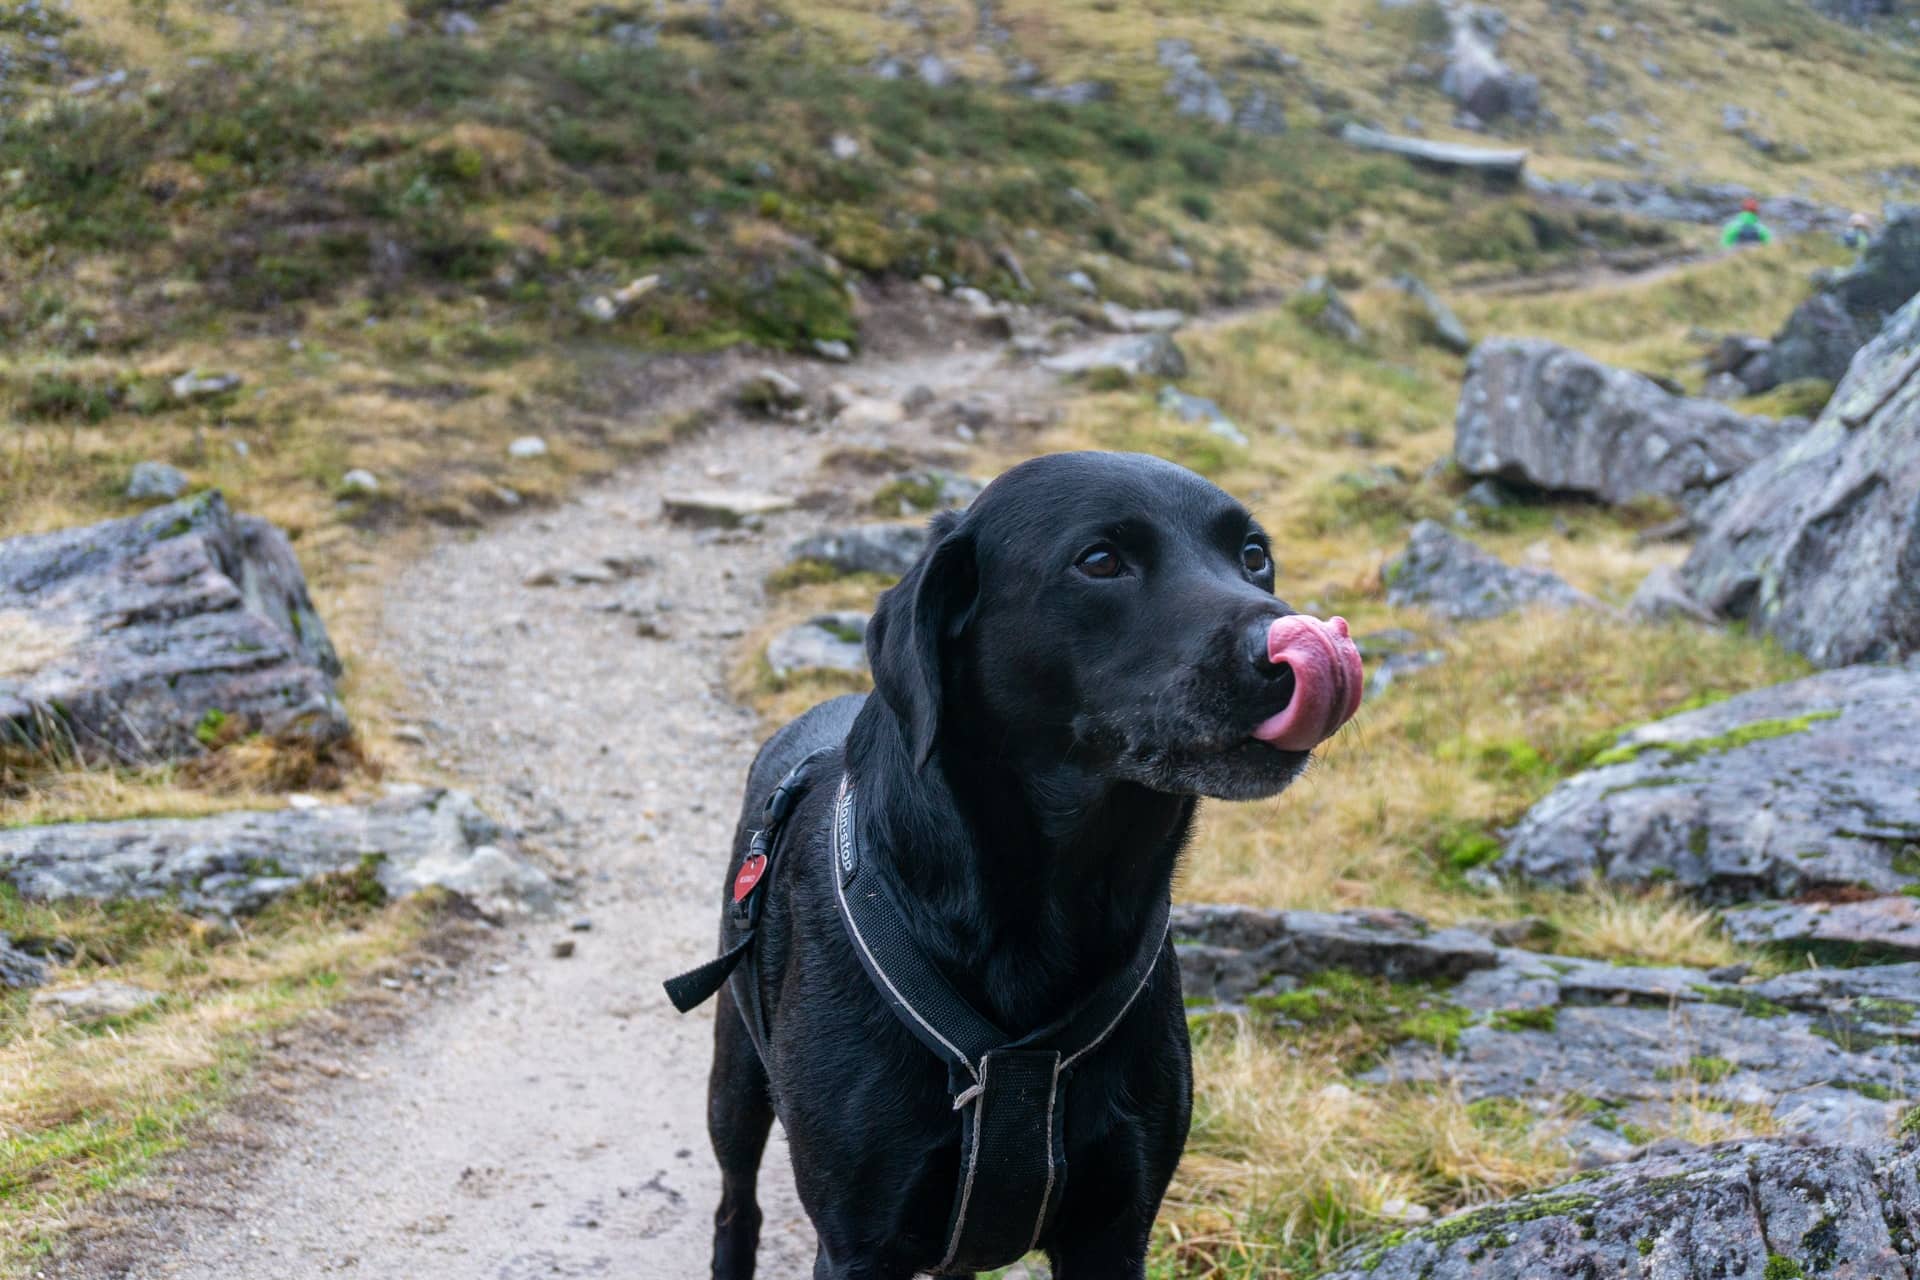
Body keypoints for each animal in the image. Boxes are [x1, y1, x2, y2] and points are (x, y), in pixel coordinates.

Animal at [698, 452, 1359, 1280]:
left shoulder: (1115, 1229)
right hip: (735, 1081)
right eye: (1100, 561)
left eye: (1253, 556)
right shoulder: (859, 1243)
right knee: (736, 1201)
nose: (1289, 646)